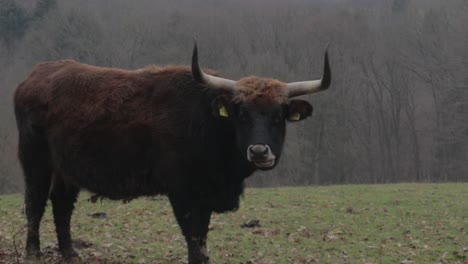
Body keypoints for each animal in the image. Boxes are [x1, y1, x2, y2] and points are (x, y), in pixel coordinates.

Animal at [13, 42, 330, 262]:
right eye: (242, 115)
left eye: (277, 116)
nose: (260, 151)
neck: (209, 125)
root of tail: (36, 74)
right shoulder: (182, 193)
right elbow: (194, 237)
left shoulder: (205, 196)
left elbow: (202, 236)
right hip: (35, 161)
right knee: (35, 203)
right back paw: (33, 253)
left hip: (66, 169)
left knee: (61, 205)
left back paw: (70, 253)